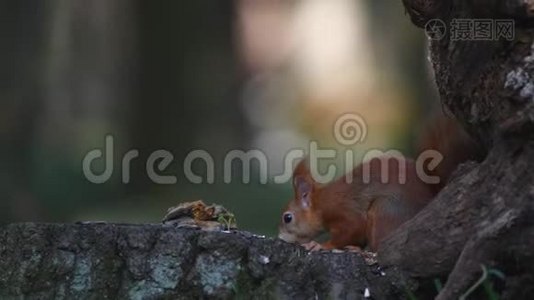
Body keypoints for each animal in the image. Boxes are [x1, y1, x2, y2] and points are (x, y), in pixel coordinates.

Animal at [278, 115, 480, 251]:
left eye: (287, 218)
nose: (279, 237)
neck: (320, 204)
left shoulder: (339, 209)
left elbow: (353, 227)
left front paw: (321, 245)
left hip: (386, 210)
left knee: (378, 247)